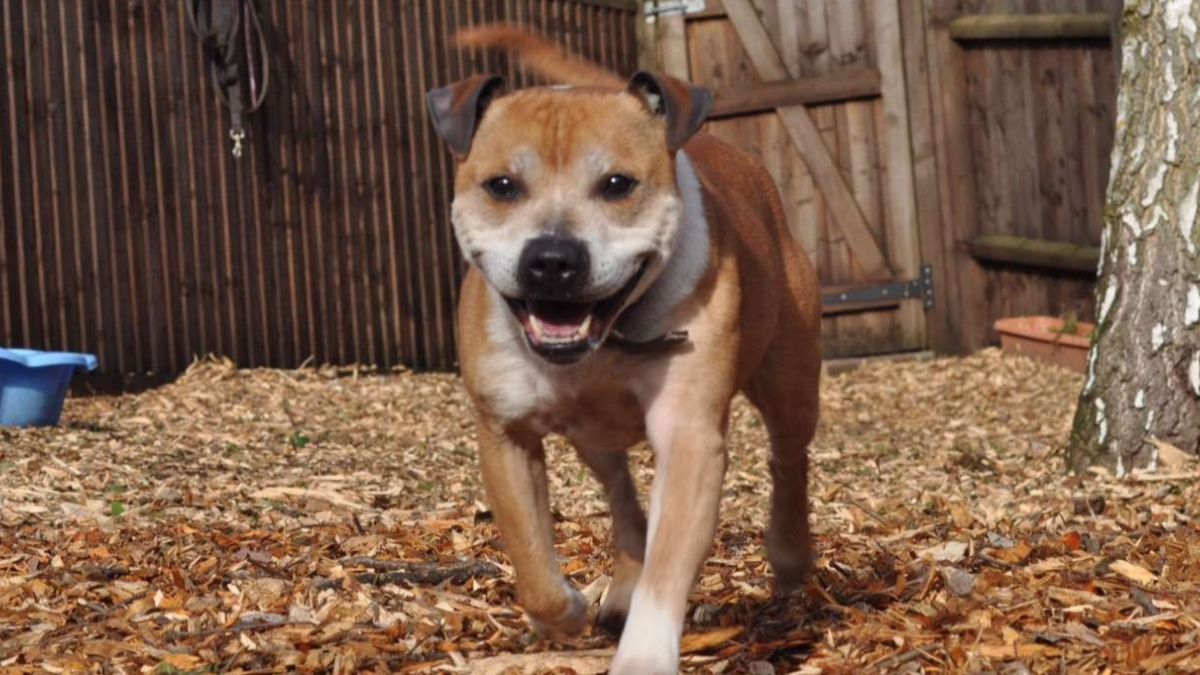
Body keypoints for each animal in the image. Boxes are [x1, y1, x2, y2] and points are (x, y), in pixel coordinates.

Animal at [427, 26, 820, 672]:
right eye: (502, 186)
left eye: (617, 184)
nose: (552, 258)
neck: (610, 336)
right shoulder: (506, 433)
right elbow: (532, 559)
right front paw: (562, 610)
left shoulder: (688, 435)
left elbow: (670, 563)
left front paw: (644, 652)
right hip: (590, 435)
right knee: (622, 495)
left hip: (790, 380)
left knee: (789, 459)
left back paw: (789, 553)